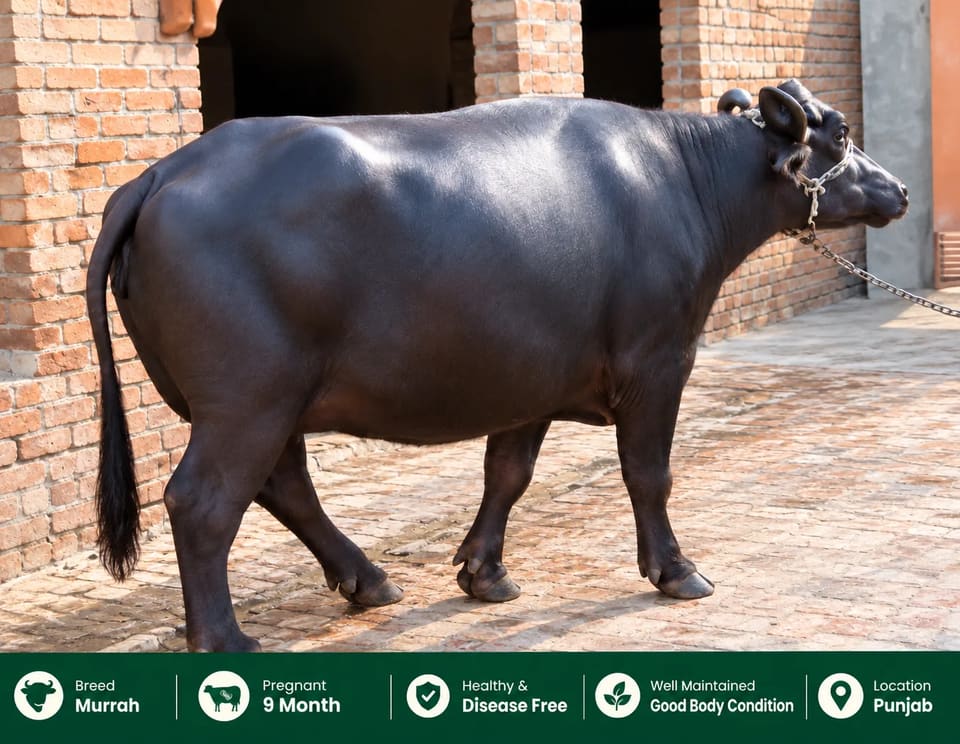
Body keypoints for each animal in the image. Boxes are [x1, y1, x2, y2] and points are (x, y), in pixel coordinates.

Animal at [87, 79, 907, 651]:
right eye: (841, 133)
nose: (897, 189)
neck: (682, 179)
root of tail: (164, 173)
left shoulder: (534, 378)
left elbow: (507, 474)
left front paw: (484, 573)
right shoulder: (659, 363)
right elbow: (649, 474)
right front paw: (677, 571)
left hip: (271, 402)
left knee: (283, 485)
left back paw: (370, 581)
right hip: (246, 401)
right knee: (205, 502)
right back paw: (226, 638)